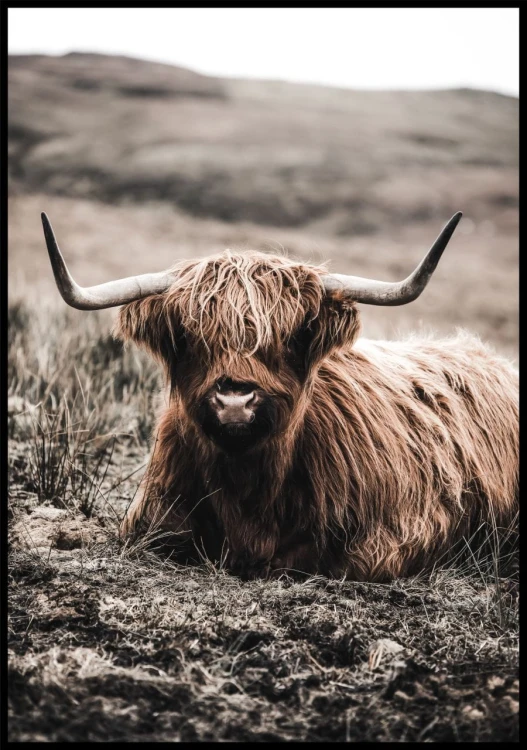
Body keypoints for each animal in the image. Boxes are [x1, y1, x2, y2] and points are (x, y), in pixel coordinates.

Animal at [41, 212, 518, 580]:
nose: (235, 401)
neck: (247, 487)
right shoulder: (150, 521)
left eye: (291, 336)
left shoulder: (391, 538)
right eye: (191, 336)